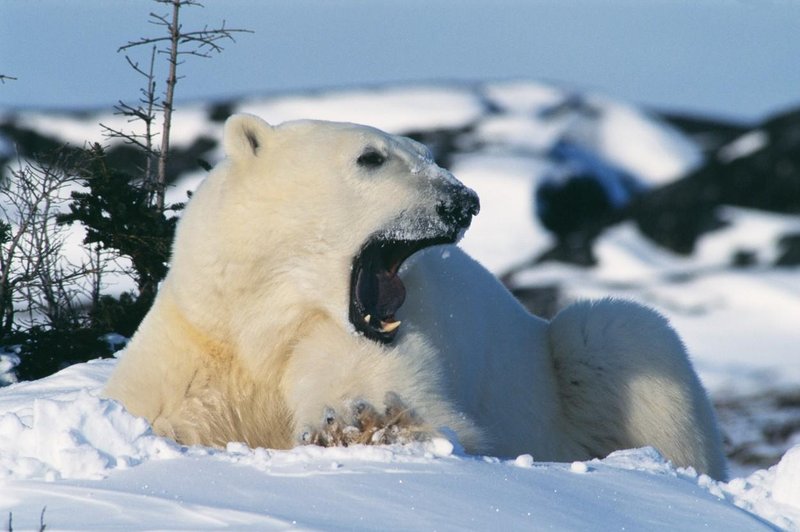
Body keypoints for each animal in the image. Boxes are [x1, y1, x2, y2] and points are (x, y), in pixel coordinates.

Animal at [103, 114, 728, 480]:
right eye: (370, 157)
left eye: (423, 151)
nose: (465, 199)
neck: (271, 318)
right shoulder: (203, 335)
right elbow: (159, 410)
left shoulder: (378, 336)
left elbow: (400, 399)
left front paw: (358, 424)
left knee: (619, 334)